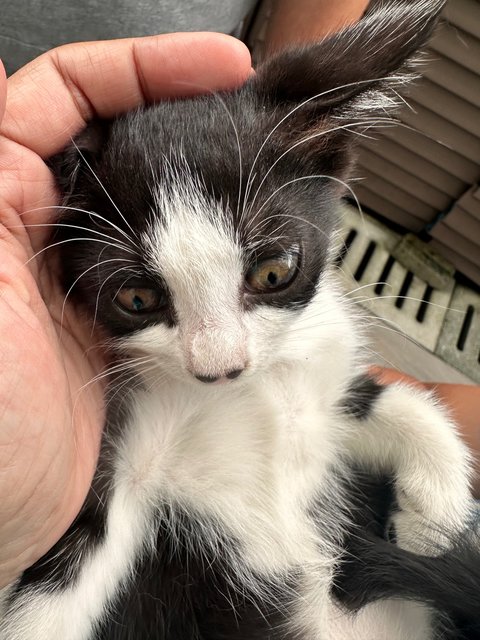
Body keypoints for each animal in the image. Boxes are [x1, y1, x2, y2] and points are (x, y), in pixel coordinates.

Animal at [1, 0, 478, 636]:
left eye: (274, 272)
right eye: (136, 300)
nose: (221, 368)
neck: (251, 394)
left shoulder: (323, 383)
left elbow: (390, 399)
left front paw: (434, 518)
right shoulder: (121, 482)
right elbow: (52, 590)